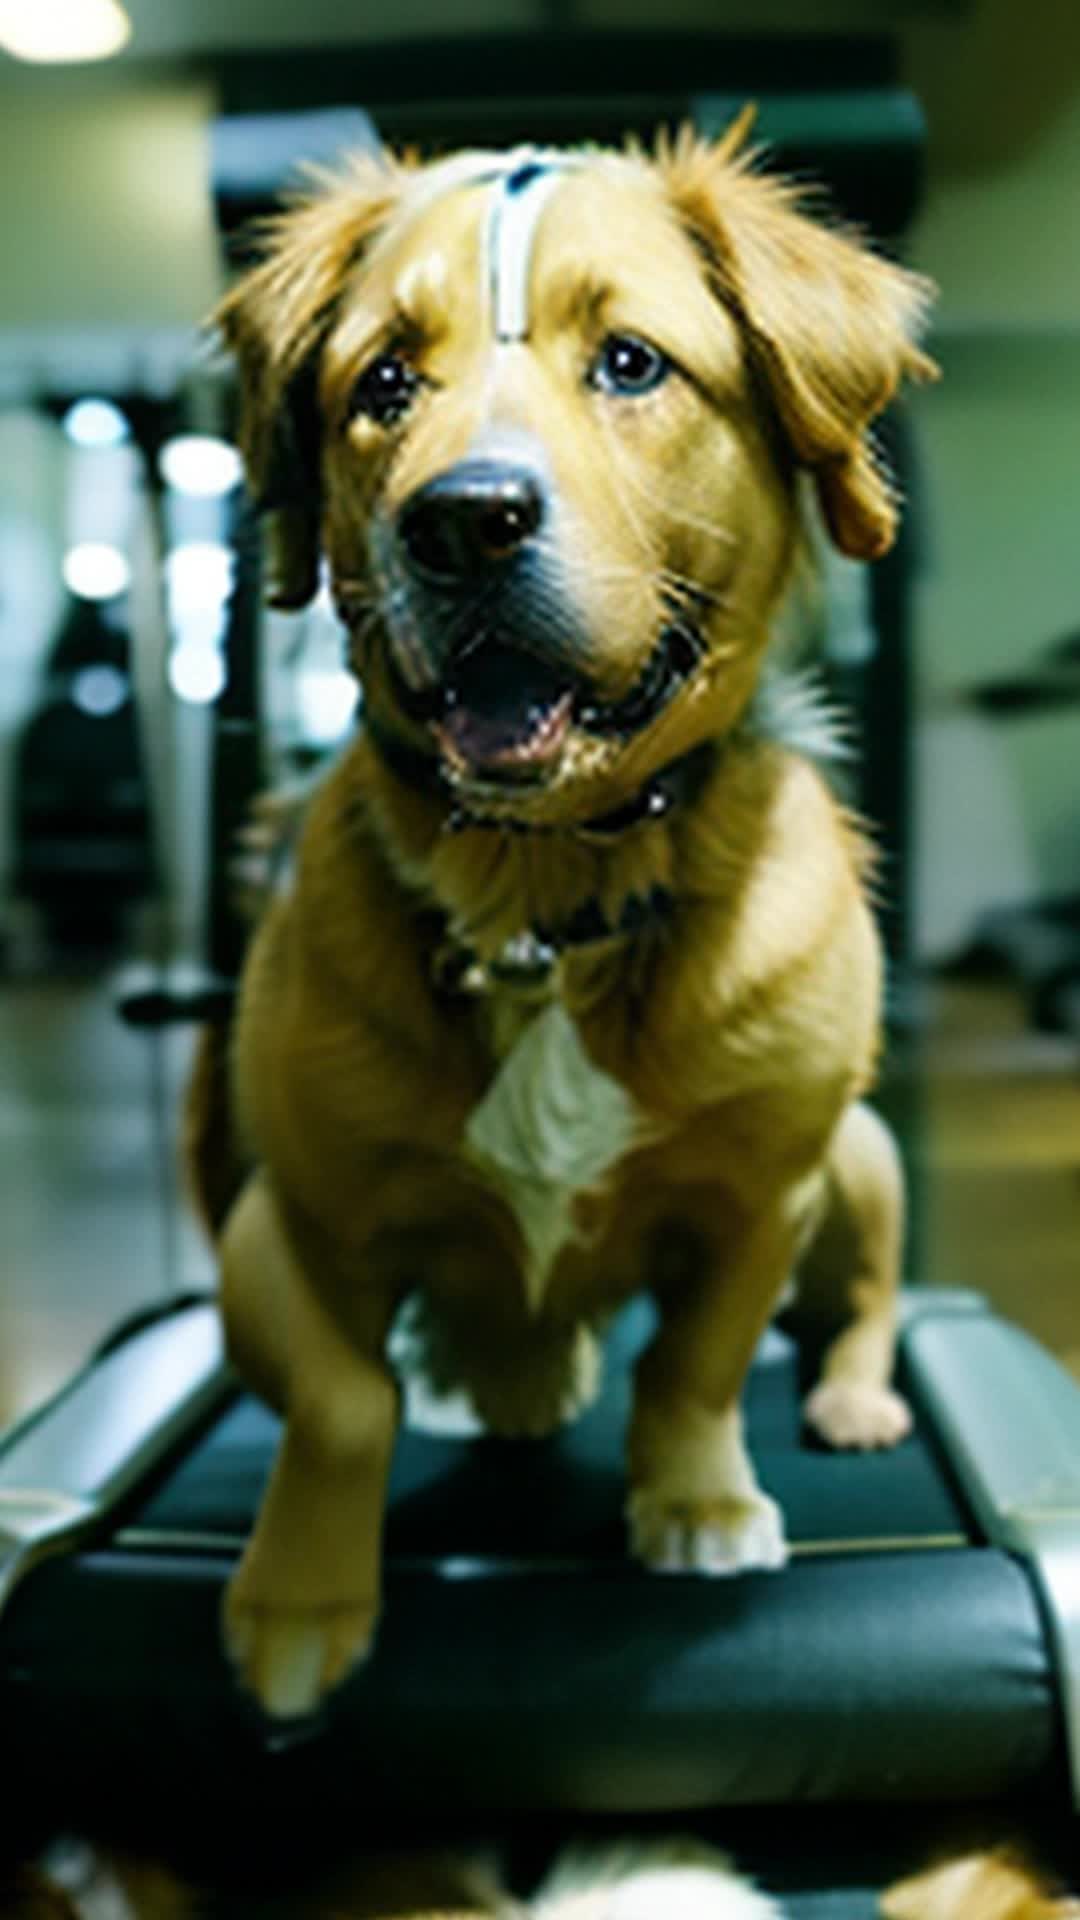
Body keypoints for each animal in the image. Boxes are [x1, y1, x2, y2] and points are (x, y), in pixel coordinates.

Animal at [189, 112, 937, 1720]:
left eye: (634, 363)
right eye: (381, 385)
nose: (465, 524)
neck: (544, 892)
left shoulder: (764, 1194)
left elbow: (699, 1364)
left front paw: (696, 1500)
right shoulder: (292, 1222)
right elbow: (345, 1401)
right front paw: (300, 1604)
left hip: (864, 1156)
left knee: (867, 1300)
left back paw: (850, 1399)